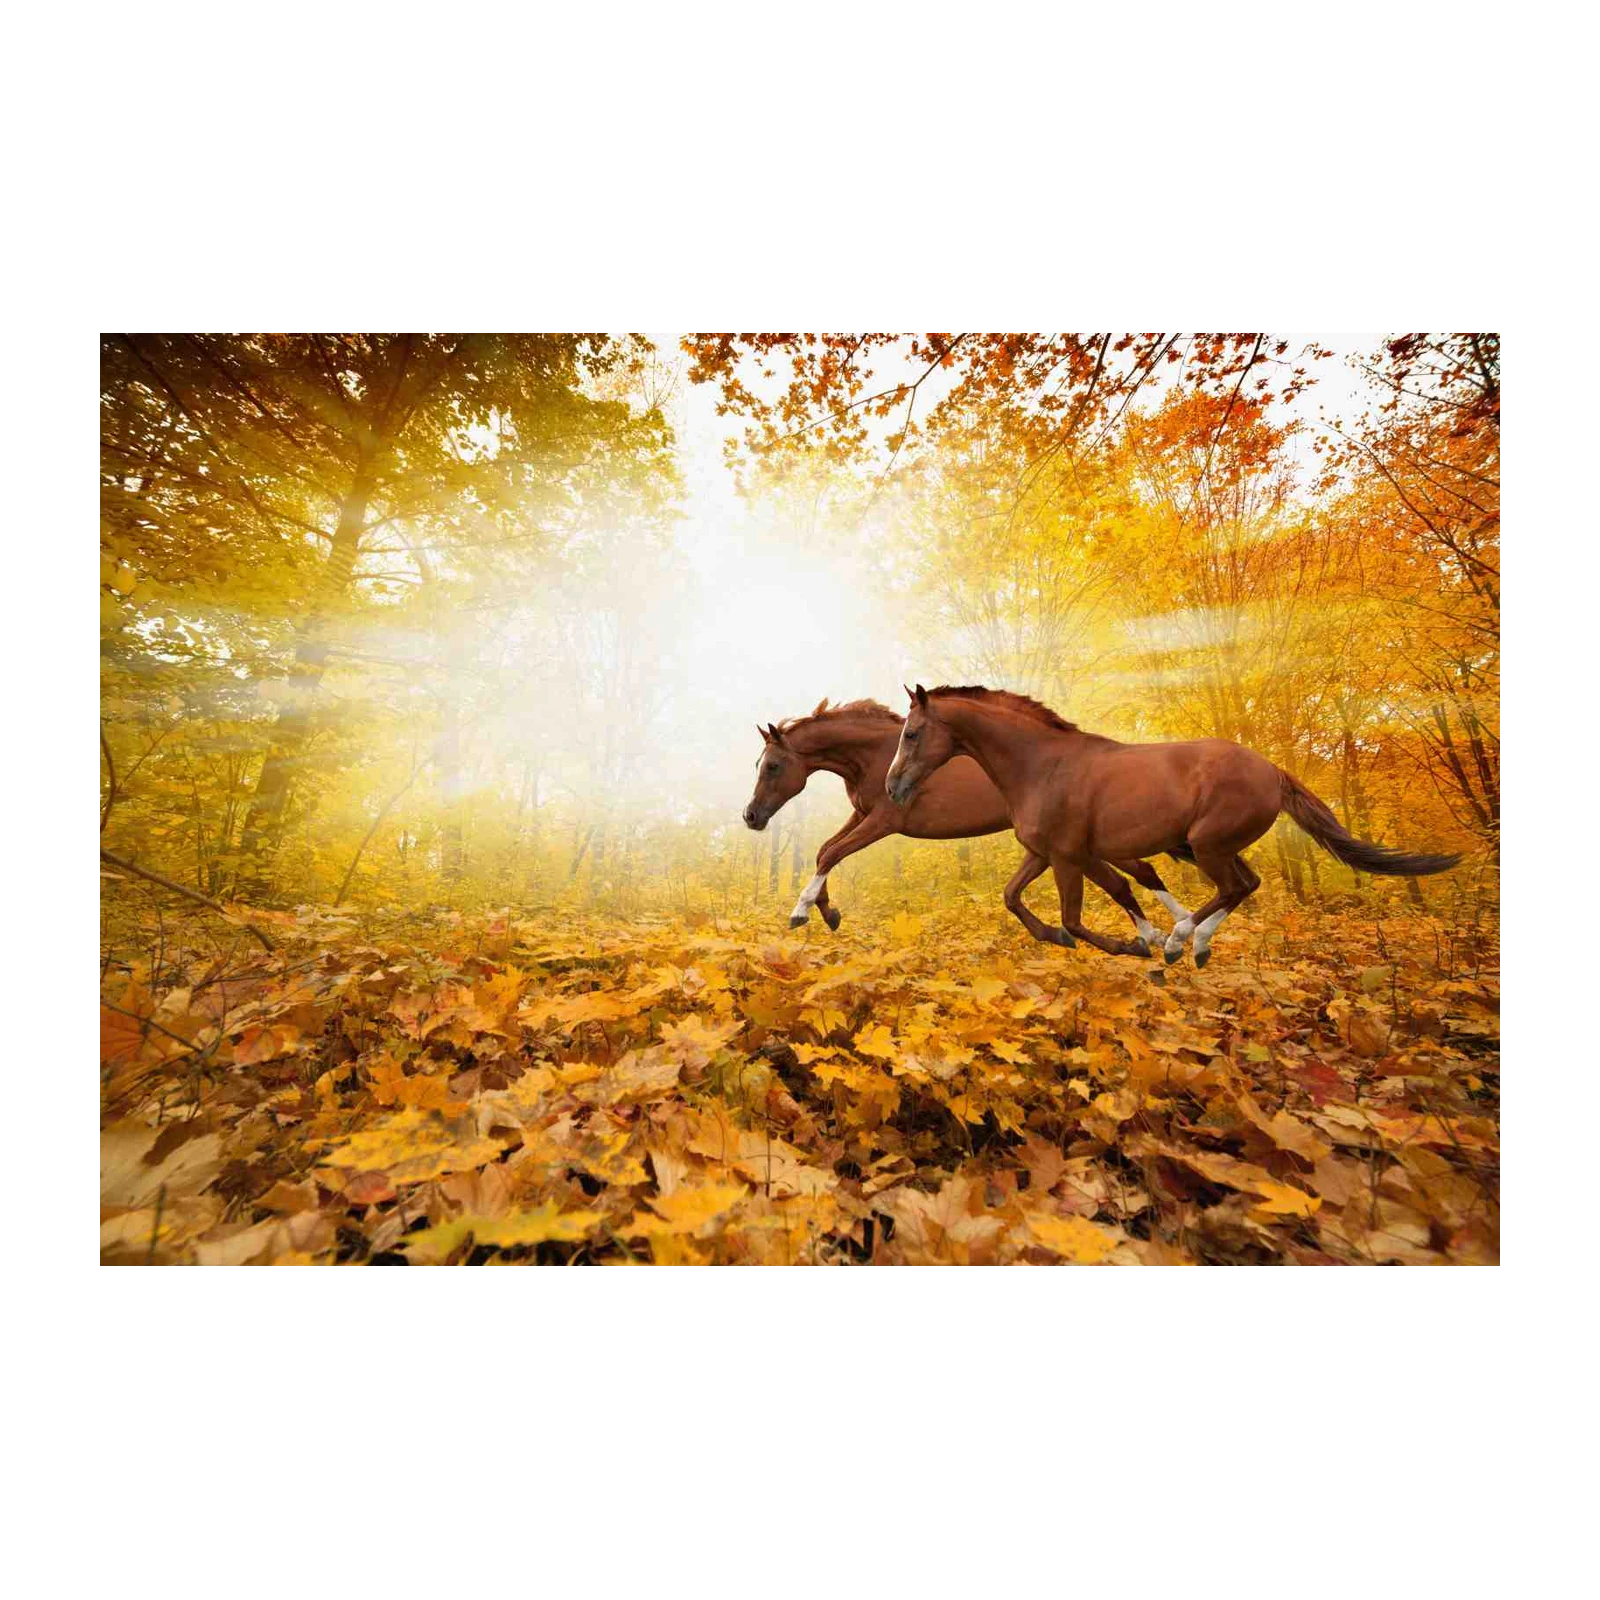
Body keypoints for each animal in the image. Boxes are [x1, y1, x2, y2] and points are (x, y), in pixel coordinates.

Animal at [742, 697, 1192, 951]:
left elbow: (831, 853)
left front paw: (802, 911)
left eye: (774, 765)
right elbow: (825, 851)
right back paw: (1172, 930)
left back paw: (1172, 930)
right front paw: (829, 912)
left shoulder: (884, 820)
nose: (751, 816)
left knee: (1140, 871)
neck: (873, 756)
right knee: (1142, 871)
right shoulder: (863, 815)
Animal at [885, 684, 1462, 967]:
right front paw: (1057, 937)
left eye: (912, 733)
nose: (892, 787)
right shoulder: (1046, 853)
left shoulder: (1070, 856)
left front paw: (1136, 945)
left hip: (1206, 845)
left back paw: (1180, 943)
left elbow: (1082, 915)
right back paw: (1197, 945)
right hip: (1207, 846)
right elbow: (1014, 897)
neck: (1041, 765)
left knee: (1233, 887)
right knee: (1247, 884)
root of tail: (1272, 770)